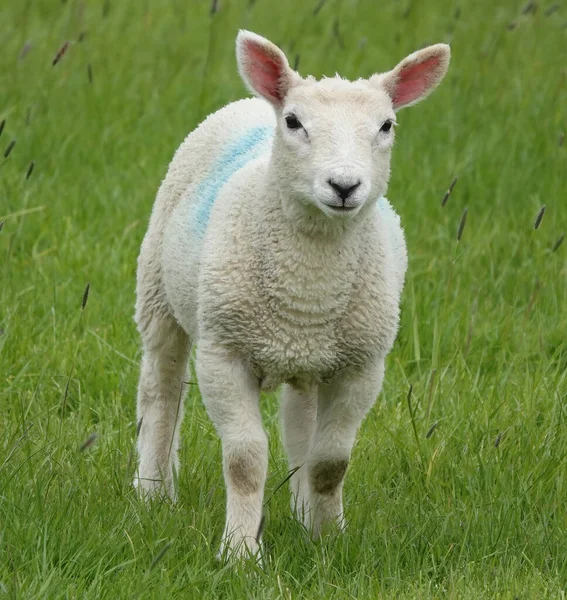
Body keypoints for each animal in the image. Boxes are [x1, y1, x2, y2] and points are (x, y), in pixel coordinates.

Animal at [135, 31, 450, 556]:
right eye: (294, 122)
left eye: (386, 125)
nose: (344, 185)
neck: (308, 284)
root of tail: (250, 102)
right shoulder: (224, 355)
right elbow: (244, 460)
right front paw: (240, 552)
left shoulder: (362, 367)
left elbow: (330, 462)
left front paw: (328, 539)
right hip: (158, 292)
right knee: (160, 391)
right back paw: (152, 493)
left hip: (314, 360)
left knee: (300, 425)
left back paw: (303, 514)